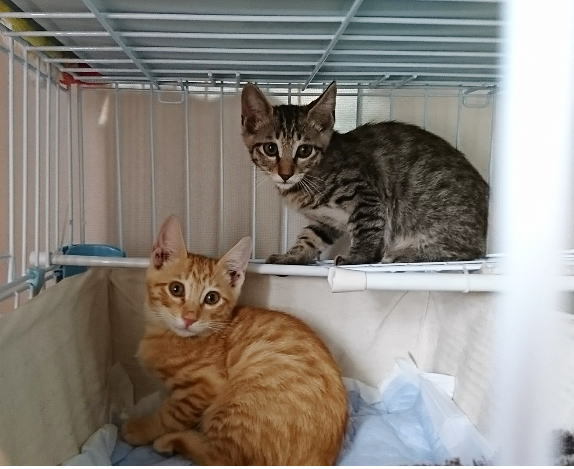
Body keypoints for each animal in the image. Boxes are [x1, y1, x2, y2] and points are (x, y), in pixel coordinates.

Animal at [121, 216, 348, 465]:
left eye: (212, 298)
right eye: (176, 289)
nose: (189, 318)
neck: (166, 335)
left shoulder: (204, 386)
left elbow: (169, 415)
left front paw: (141, 429)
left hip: (239, 406)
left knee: (221, 457)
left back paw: (172, 442)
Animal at [241, 82, 489, 266]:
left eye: (304, 150)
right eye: (270, 148)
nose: (285, 174)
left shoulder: (365, 193)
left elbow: (367, 228)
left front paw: (358, 257)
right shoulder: (325, 221)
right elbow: (310, 237)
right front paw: (293, 255)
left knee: (469, 250)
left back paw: (404, 253)